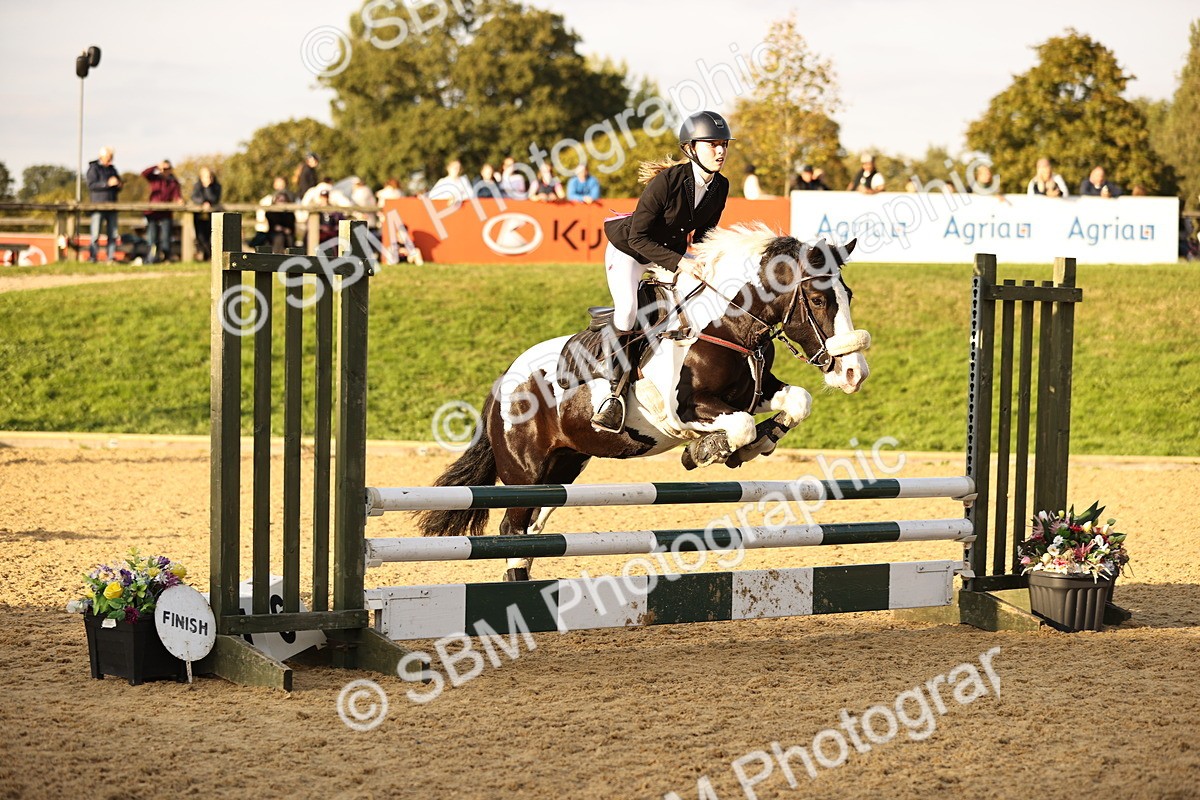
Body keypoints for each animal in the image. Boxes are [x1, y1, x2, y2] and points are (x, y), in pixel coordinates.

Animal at [417, 223, 871, 580]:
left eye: (848, 294)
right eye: (818, 300)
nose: (854, 373)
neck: (729, 326)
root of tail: (504, 381)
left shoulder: (755, 392)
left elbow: (797, 401)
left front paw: (757, 444)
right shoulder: (684, 409)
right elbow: (737, 425)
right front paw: (706, 450)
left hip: (563, 467)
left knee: (531, 531)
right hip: (524, 473)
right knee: (513, 530)